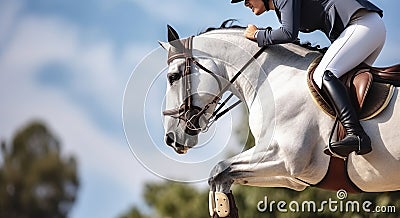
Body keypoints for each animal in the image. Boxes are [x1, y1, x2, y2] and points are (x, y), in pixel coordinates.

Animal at [160, 25, 400, 216]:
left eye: (173, 77)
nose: (170, 138)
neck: (276, 77)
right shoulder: (291, 177)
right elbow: (221, 182)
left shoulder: (284, 158)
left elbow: (218, 171)